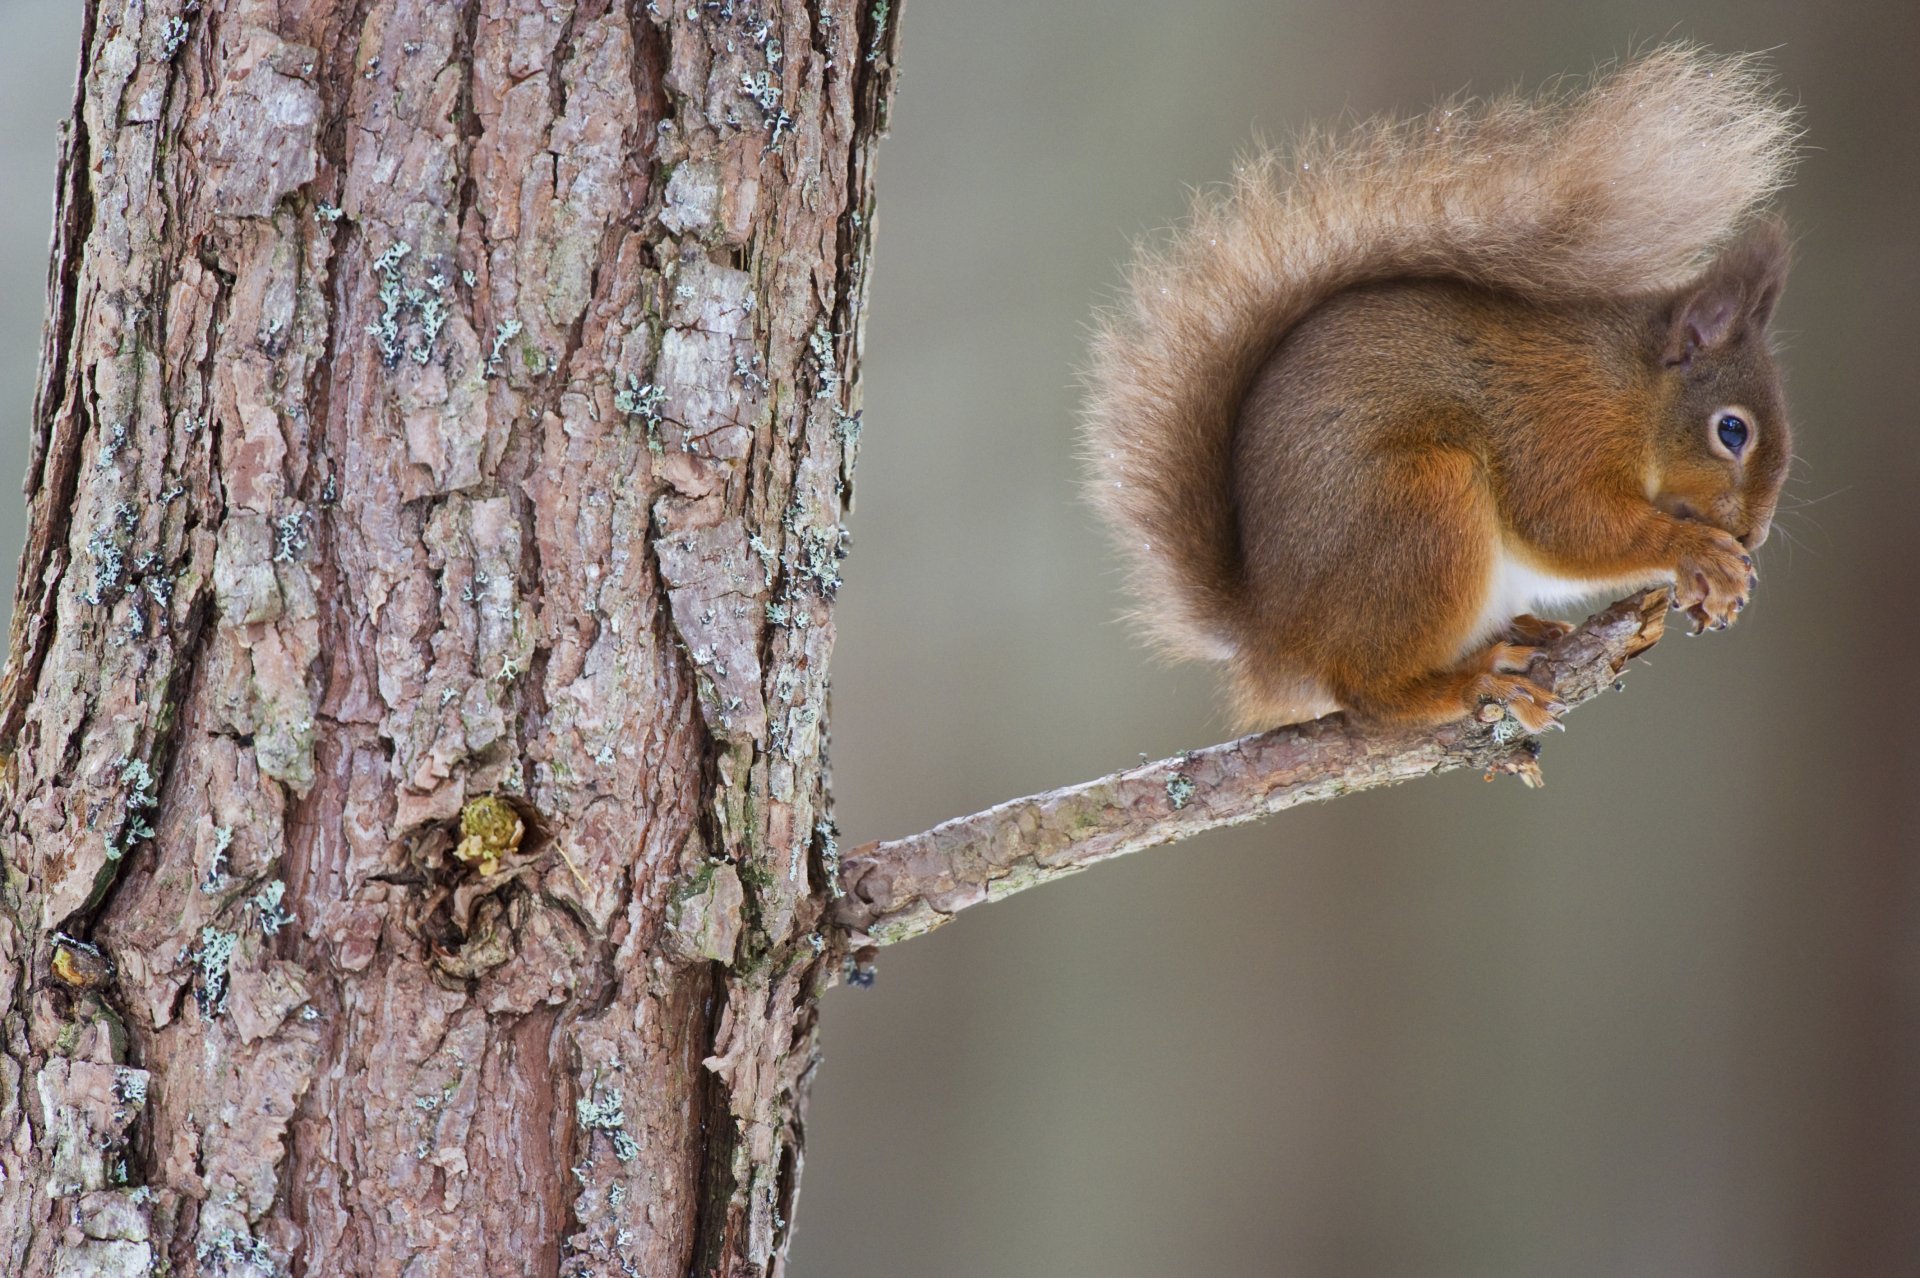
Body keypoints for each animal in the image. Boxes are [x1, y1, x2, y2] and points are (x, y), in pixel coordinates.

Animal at [1084, 48, 1799, 733]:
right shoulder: (1560, 428)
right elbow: (1568, 525)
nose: (1752, 537)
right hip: (1422, 509)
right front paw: (1696, 552)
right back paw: (1470, 684)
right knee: (1370, 696)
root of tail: (1275, 637)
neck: (1631, 389)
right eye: (1731, 430)